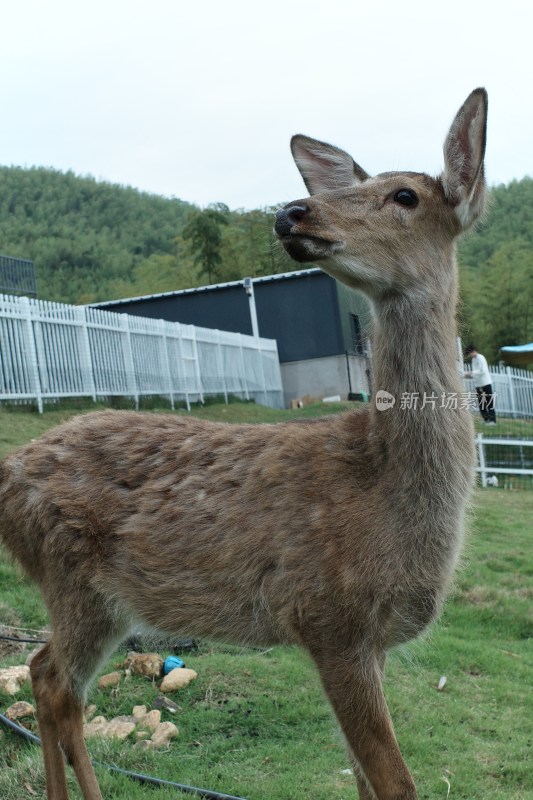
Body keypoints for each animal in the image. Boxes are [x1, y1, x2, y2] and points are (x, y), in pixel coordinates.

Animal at [0, 87, 484, 800]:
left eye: (404, 195)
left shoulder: (366, 641)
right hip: (72, 579)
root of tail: (9, 471)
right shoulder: (327, 616)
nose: (291, 211)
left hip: (98, 599)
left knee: (42, 672)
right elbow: (395, 782)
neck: (386, 495)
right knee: (56, 684)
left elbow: (368, 780)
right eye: (353, 187)